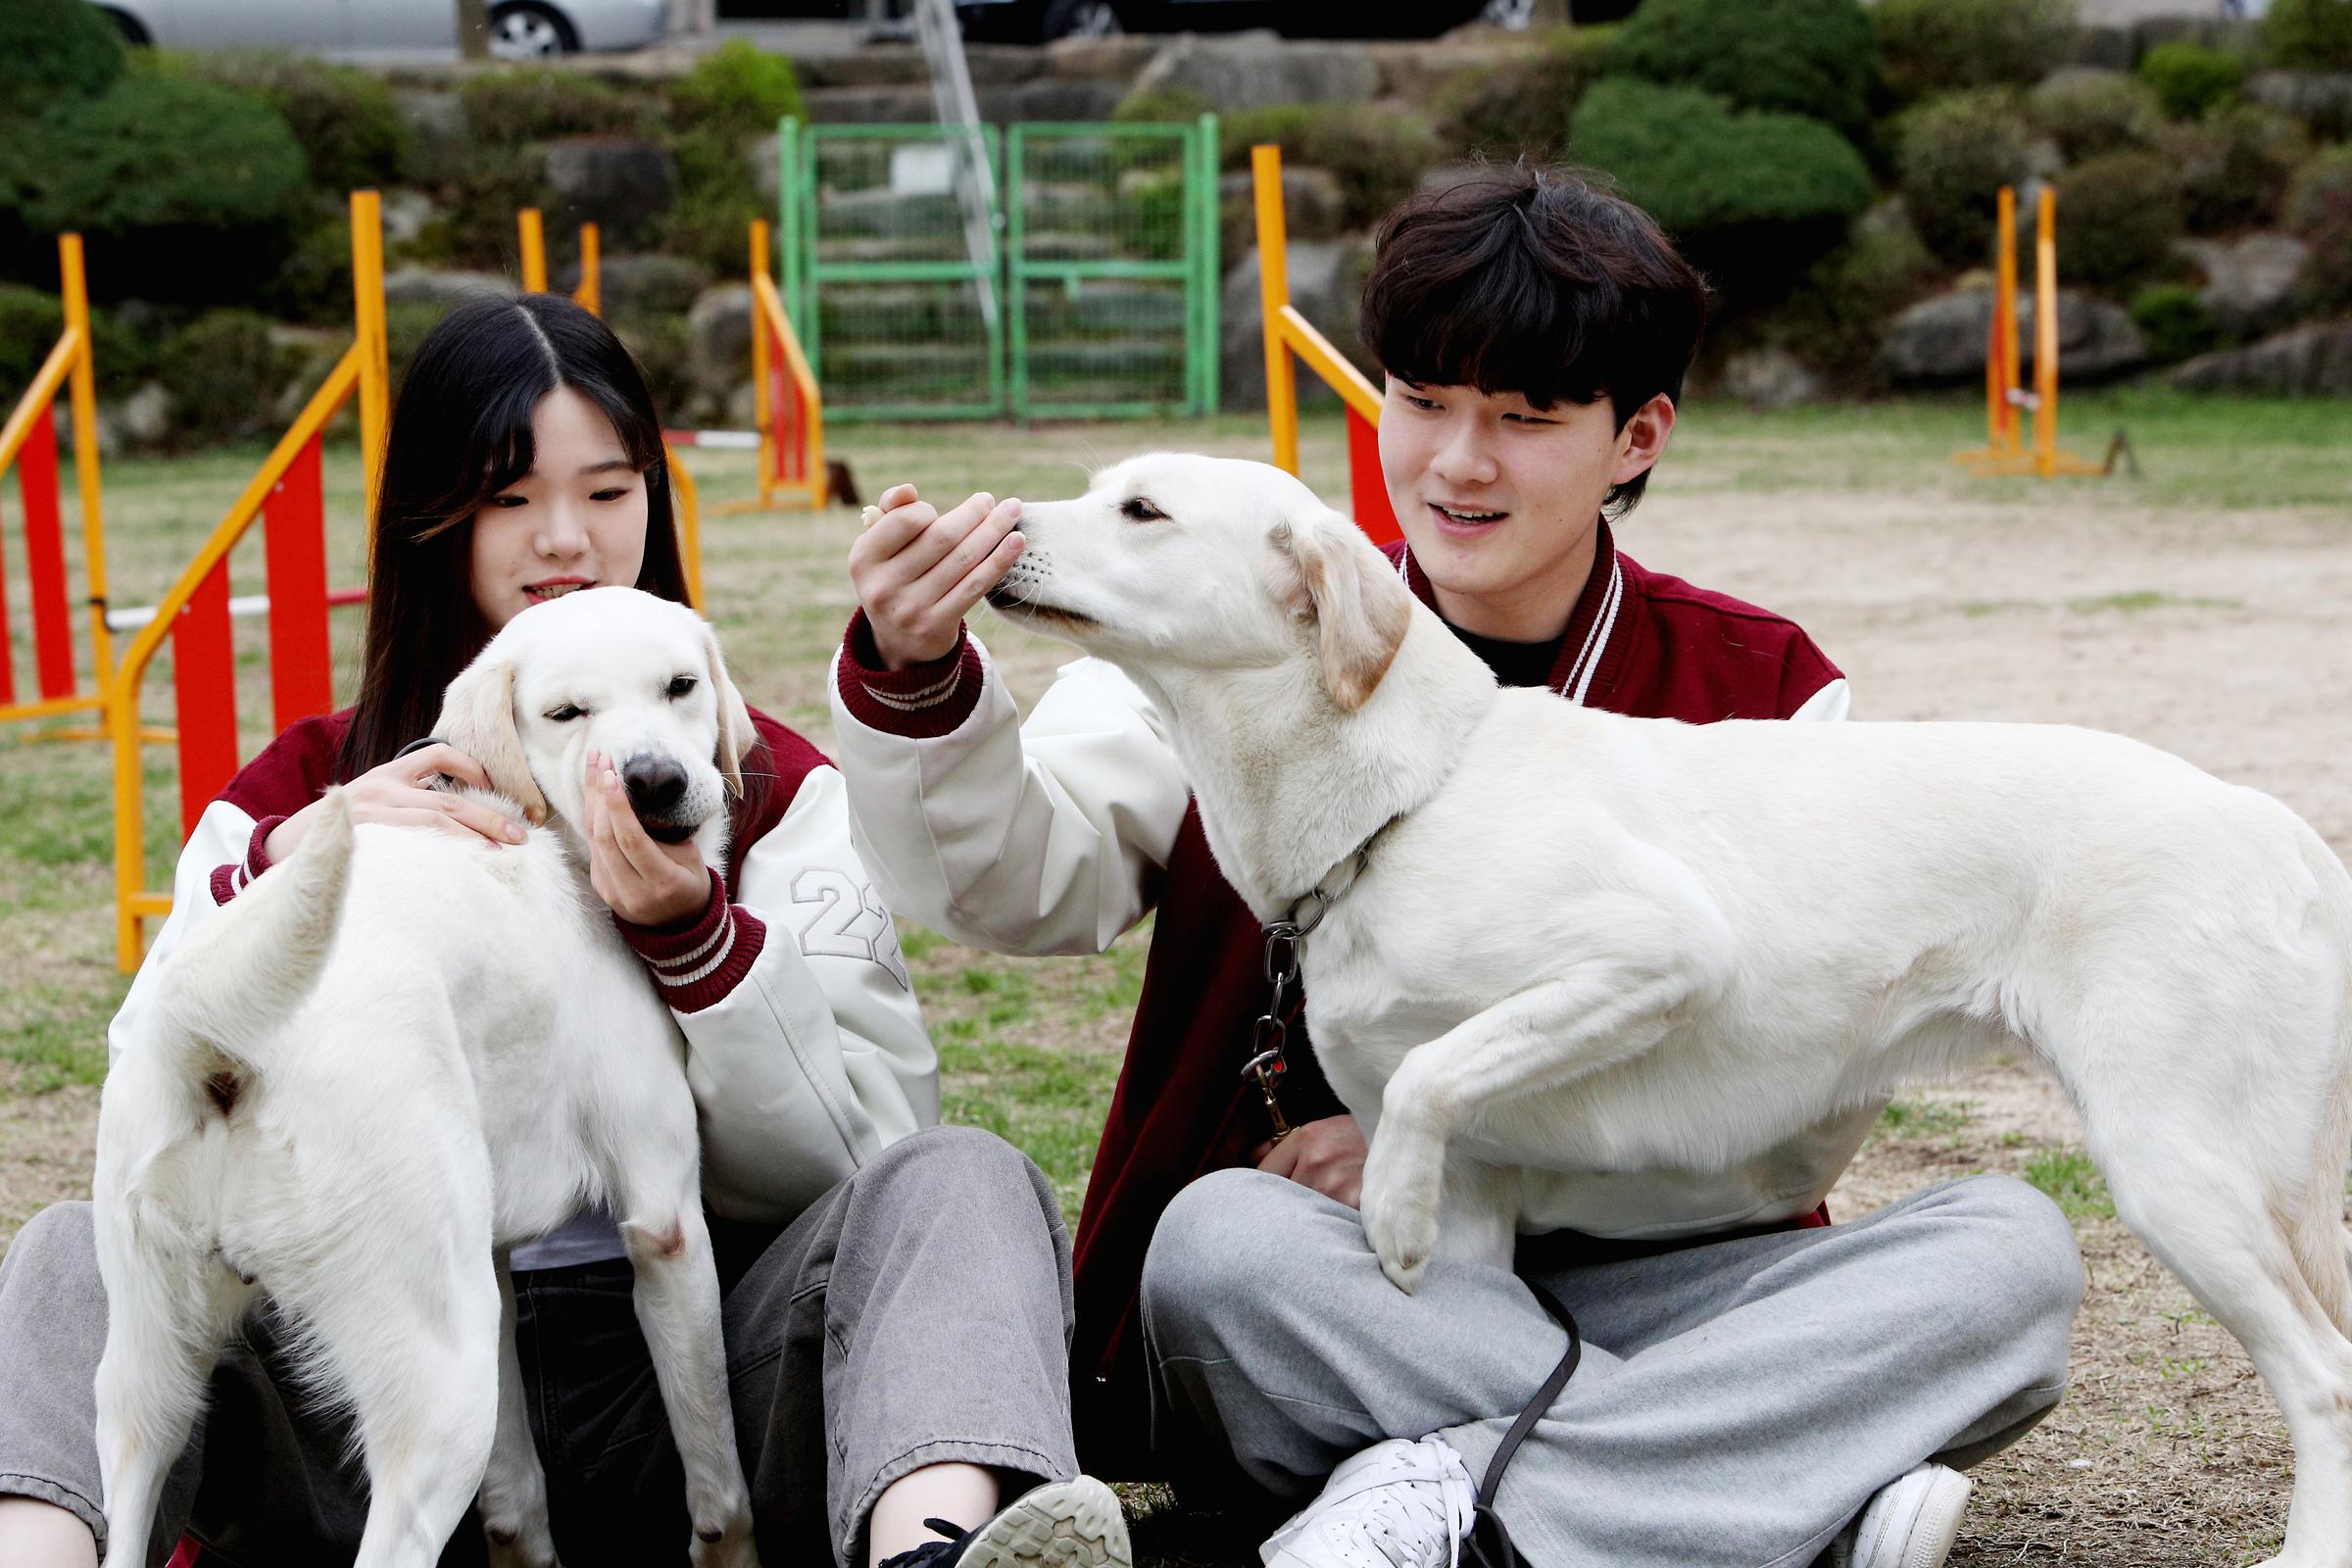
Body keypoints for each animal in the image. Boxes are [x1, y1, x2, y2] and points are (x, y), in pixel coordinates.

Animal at [89, 585, 761, 1568]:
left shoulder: (492, 1261)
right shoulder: (664, 1217)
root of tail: (217, 1036)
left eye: (680, 685)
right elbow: (718, 1481)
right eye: (566, 714)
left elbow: (516, 1499)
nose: (653, 782)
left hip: (152, 1387)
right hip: (439, 1404)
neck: (544, 834)